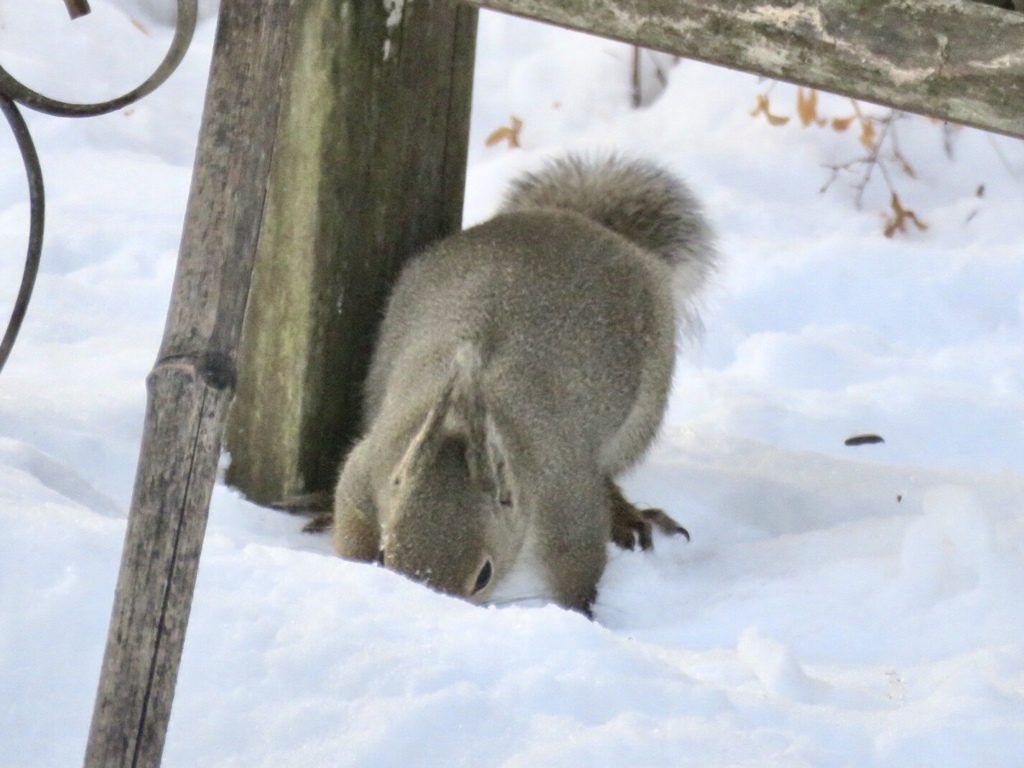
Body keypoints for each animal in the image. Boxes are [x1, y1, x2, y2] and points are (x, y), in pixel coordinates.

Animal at [331, 153, 716, 618]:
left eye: (484, 575)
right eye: (385, 556)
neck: (459, 420)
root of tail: (577, 221)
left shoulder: (564, 500)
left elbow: (580, 566)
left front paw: (581, 616)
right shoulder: (372, 466)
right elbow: (350, 513)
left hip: (644, 407)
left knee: (610, 468)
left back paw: (627, 515)